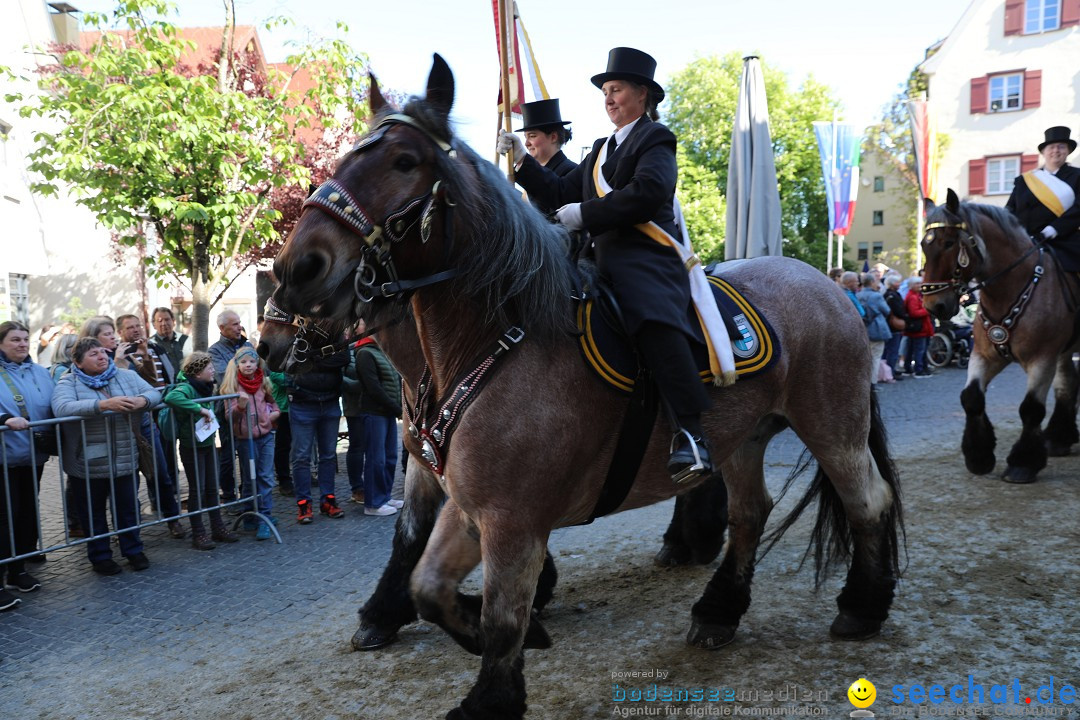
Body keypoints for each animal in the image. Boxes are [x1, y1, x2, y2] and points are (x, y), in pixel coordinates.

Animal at [267, 56, 902, 720]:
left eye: (404, 161)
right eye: (343, 159)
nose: (294, 272)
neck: (489, 344)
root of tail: (825, 284)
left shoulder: (511, 517)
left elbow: (501, 612)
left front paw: (492, 692)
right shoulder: (462, 498)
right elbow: (428, 583)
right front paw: (470, 624)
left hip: (833, 427)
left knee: (867, 501)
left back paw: (861, 604)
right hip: (743, 437)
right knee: (751, 514)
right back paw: (718, 608)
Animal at [920, 191, 1080, 483]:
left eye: (948, 243)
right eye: (924, 246)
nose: (934, 306)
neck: (1010, 288)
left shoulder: (1042, 359)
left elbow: (1030, 408)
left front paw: (1023, 463)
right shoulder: (985, 355)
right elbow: (971, 397)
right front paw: (979, 456)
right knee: (1068, 384)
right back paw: (1058, 437)